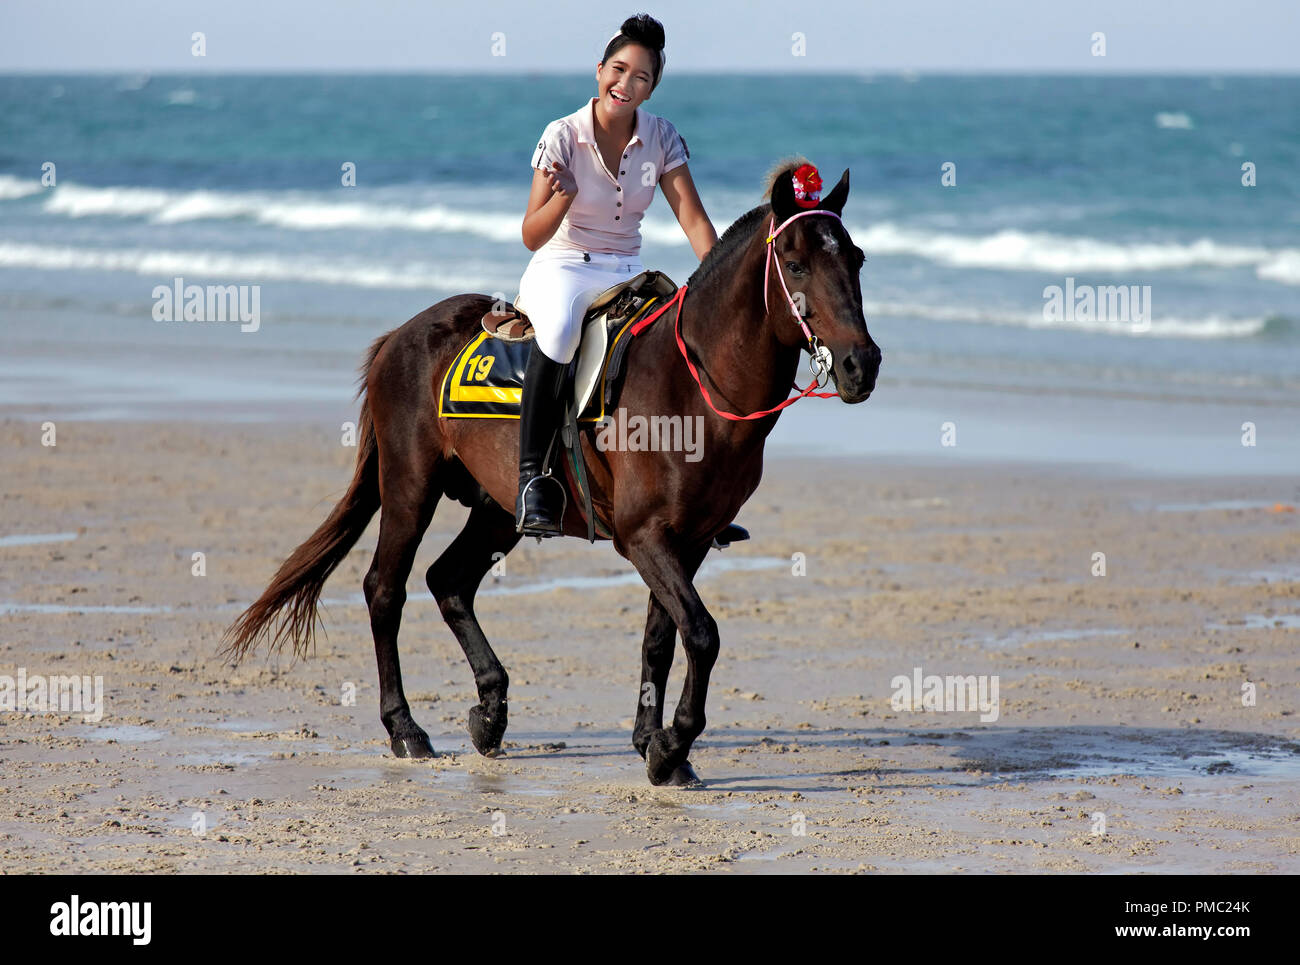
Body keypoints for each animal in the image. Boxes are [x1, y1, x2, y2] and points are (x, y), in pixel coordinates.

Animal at [223, 162, 878, 790]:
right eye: (795, 263)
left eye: (857, 259)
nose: (861, 363)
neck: (692, 387)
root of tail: (400, 336)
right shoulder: (644, 537)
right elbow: (701, 634)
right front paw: (671, 746)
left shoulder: (686, 542)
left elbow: (661, 638)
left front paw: (654, 744)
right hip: (411, 487)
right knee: (386, 589)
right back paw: (405, 728)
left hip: (498, 507)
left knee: (448, 581)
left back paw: (490, 711)